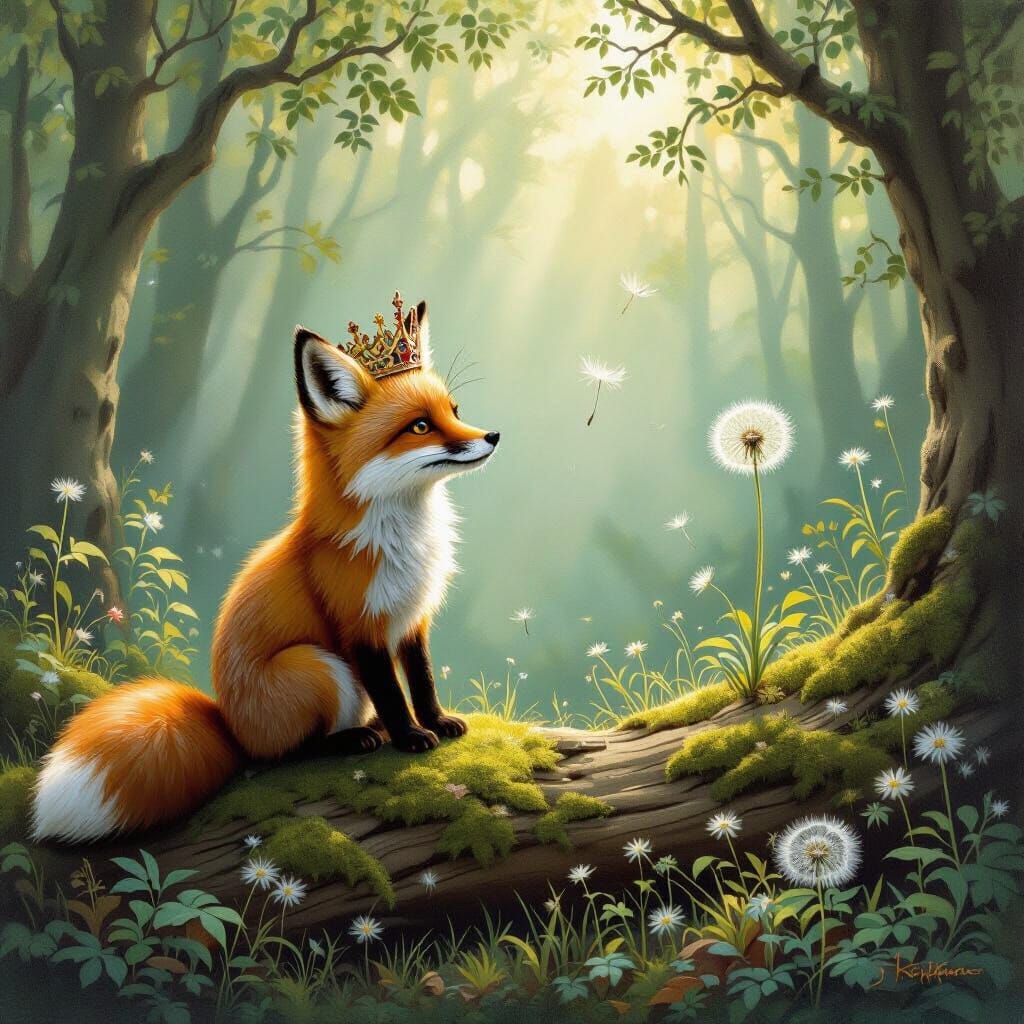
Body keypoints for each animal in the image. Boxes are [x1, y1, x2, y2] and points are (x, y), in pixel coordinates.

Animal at [31, 299, 500, 843]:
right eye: (421, 426)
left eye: (455, 412)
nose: (493, 436)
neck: (400, 538)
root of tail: (229, 725)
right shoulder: (360, 627)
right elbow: (390, 690)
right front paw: (409, 737)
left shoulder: (411, 619)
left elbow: (422, 682)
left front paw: (437, 721)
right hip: (317, 664)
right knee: (285, 754)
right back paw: (354, 738)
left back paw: (370, 729)